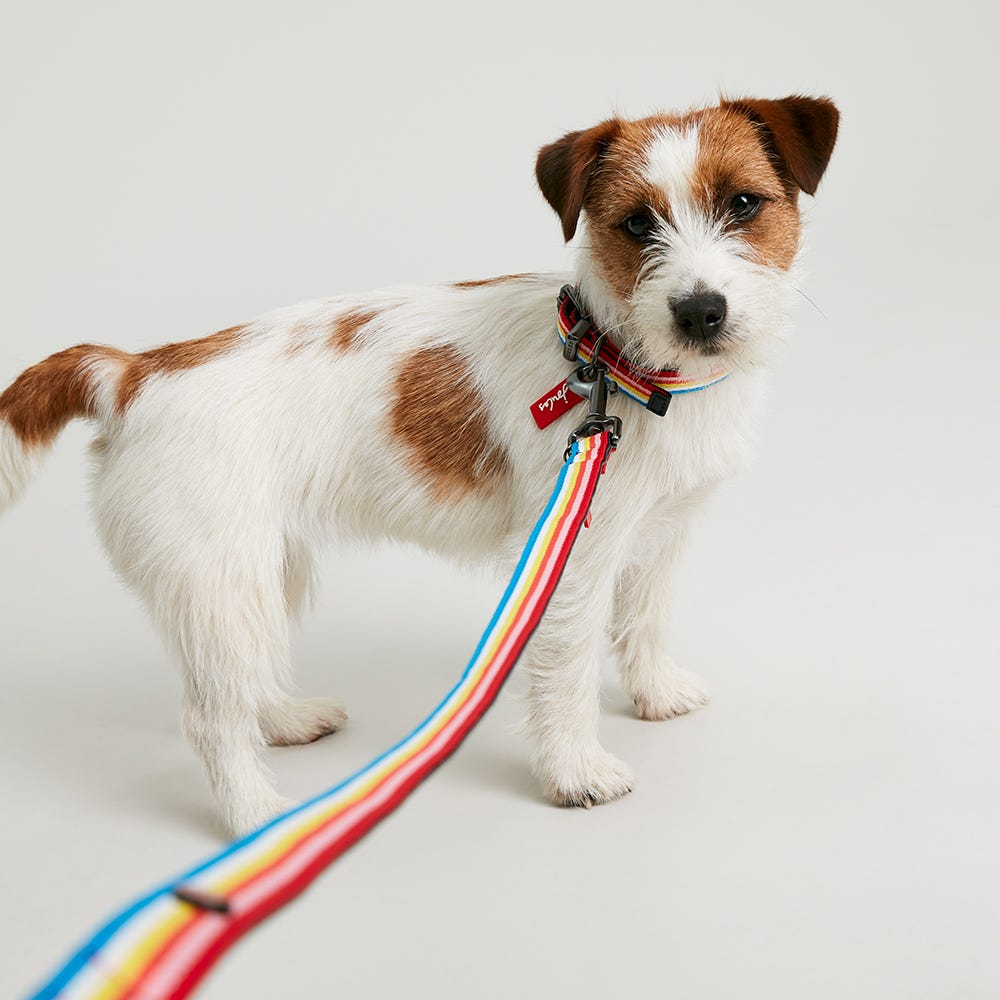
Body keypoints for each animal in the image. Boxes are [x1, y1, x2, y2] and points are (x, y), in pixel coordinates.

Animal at [0, 95, 836, 836]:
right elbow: (567, 669)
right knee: (209, 717)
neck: (617, 363)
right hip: (223, 581)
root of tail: (132, 373)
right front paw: (575, 773)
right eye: (637, 223)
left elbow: (646, 617)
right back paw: (256, 817)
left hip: (260, 577)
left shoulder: (658, 536)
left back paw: (286, 721)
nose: (701, 312)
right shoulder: (573, 555)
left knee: (240, 678)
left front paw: (656, 694)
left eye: (743, 204)